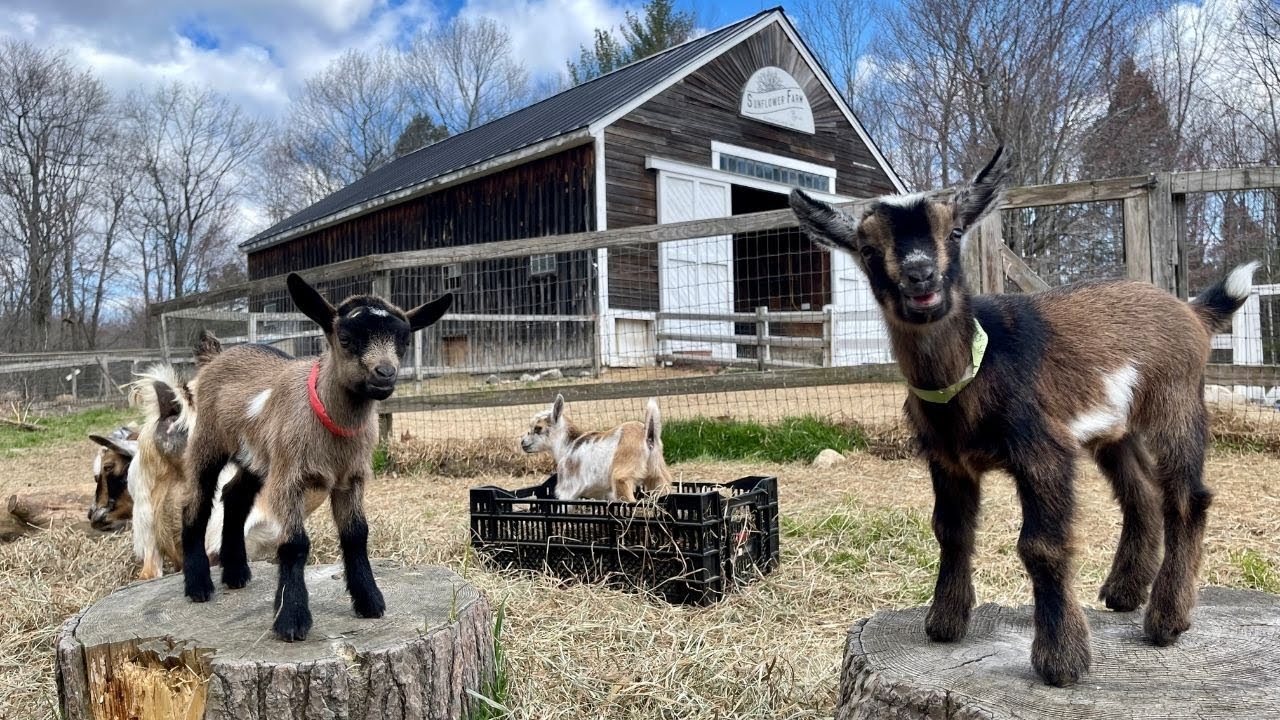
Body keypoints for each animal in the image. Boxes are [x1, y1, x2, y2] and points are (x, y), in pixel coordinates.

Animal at [180, 273, 452, 642]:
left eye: (405, 341)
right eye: (346, 338)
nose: (385, 374)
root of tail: (216, 356)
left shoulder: (350, 478)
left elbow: (356, 535)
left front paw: (370, 601)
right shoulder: (290, 479)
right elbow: (294, 544)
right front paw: (291, 618)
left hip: (259, 456)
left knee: (234, 495)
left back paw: (236, 573)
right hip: (208, 440)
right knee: (196, 502)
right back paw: (198, 586)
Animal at [520, 394, 672, 502]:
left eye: (538, 428)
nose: (522, 442)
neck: (568, 445)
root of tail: (647, 434)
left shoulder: (567, 490)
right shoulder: (603, 492)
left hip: (623, 477)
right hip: (657, 473)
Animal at [790, 146, 1256, 687]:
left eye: (955, 232)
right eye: (867, 249)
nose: (920, 277)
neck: (976, 367)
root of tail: (1192, 311)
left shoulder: (1042, 448)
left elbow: (1041, 545)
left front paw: (1061, 661)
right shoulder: (946, 460)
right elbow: (949, 530)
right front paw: (944, 623)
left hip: (1176, 400)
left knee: (1187, 497)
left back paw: (1166, 620)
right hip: (1112, 428)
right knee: (1141, 492)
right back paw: (1123, 593)